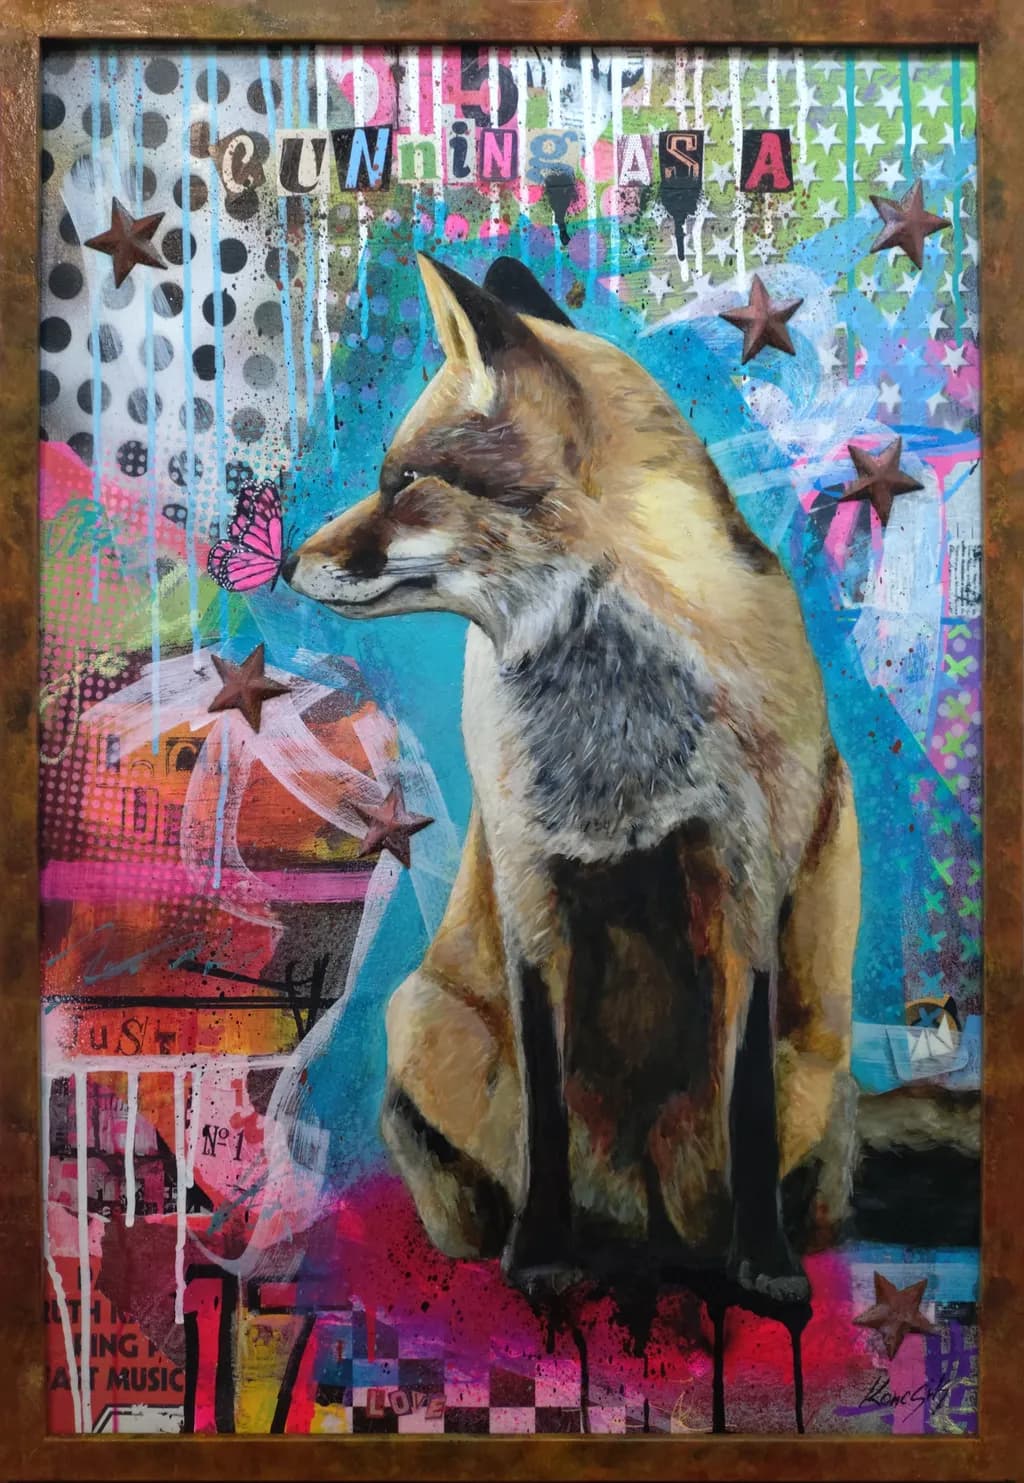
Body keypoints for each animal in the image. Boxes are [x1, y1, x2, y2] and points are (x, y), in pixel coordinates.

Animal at [283, 253, 975, 1324]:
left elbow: (744, 1107)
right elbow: (546, 1113)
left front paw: (764, 1265)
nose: (282, 561)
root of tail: (650, 1218)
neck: (618, 732)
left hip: (816, 1079)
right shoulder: (533, 889)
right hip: (423, 1019)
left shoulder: (743, 886)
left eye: (403, 482)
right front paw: (538, 1256)